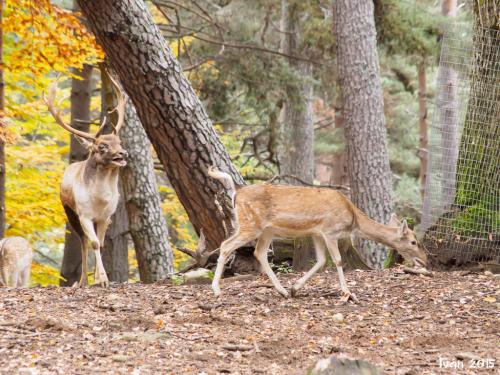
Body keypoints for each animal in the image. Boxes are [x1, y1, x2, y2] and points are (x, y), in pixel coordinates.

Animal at [43, 75, 128, 288]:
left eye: (119, 142)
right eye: (102, 146)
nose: (123, 154)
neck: (100, 200)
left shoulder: (106, 216)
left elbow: (102, 243)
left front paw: (101, 278)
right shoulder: (85, 215)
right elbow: (94, 243)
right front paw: (102, 279)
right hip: (70, 212)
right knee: (83, 240)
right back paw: (81, 281)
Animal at [209, 167, 428, 302]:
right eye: (413, 241)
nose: (426, 259)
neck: (352, 218)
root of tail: (237, 192)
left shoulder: (316, 233)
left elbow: (321, 261)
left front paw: (295, 288)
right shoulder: (330, 231)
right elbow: (338, 260)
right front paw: (348, 292)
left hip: (267, 229)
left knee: (259, 252)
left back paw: (283, 291)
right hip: (250, 224)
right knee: (226, 245)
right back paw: (216, 289)